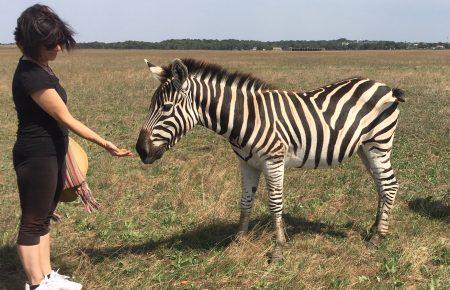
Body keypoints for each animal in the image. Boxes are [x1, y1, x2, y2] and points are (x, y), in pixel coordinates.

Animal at [135, 57, 406, 260]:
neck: (245, 117)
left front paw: (278, 248)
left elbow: (275, 203)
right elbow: (245, 202)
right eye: (150, 106)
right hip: (364, 148)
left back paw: (378, 238)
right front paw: (238, 241)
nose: (140, 150)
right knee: (380, 185)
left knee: (390, 185)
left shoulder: (273, 161)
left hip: (378, 144)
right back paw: (374, 228)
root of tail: (385, 87)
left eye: (166, 108)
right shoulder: (246, 163)